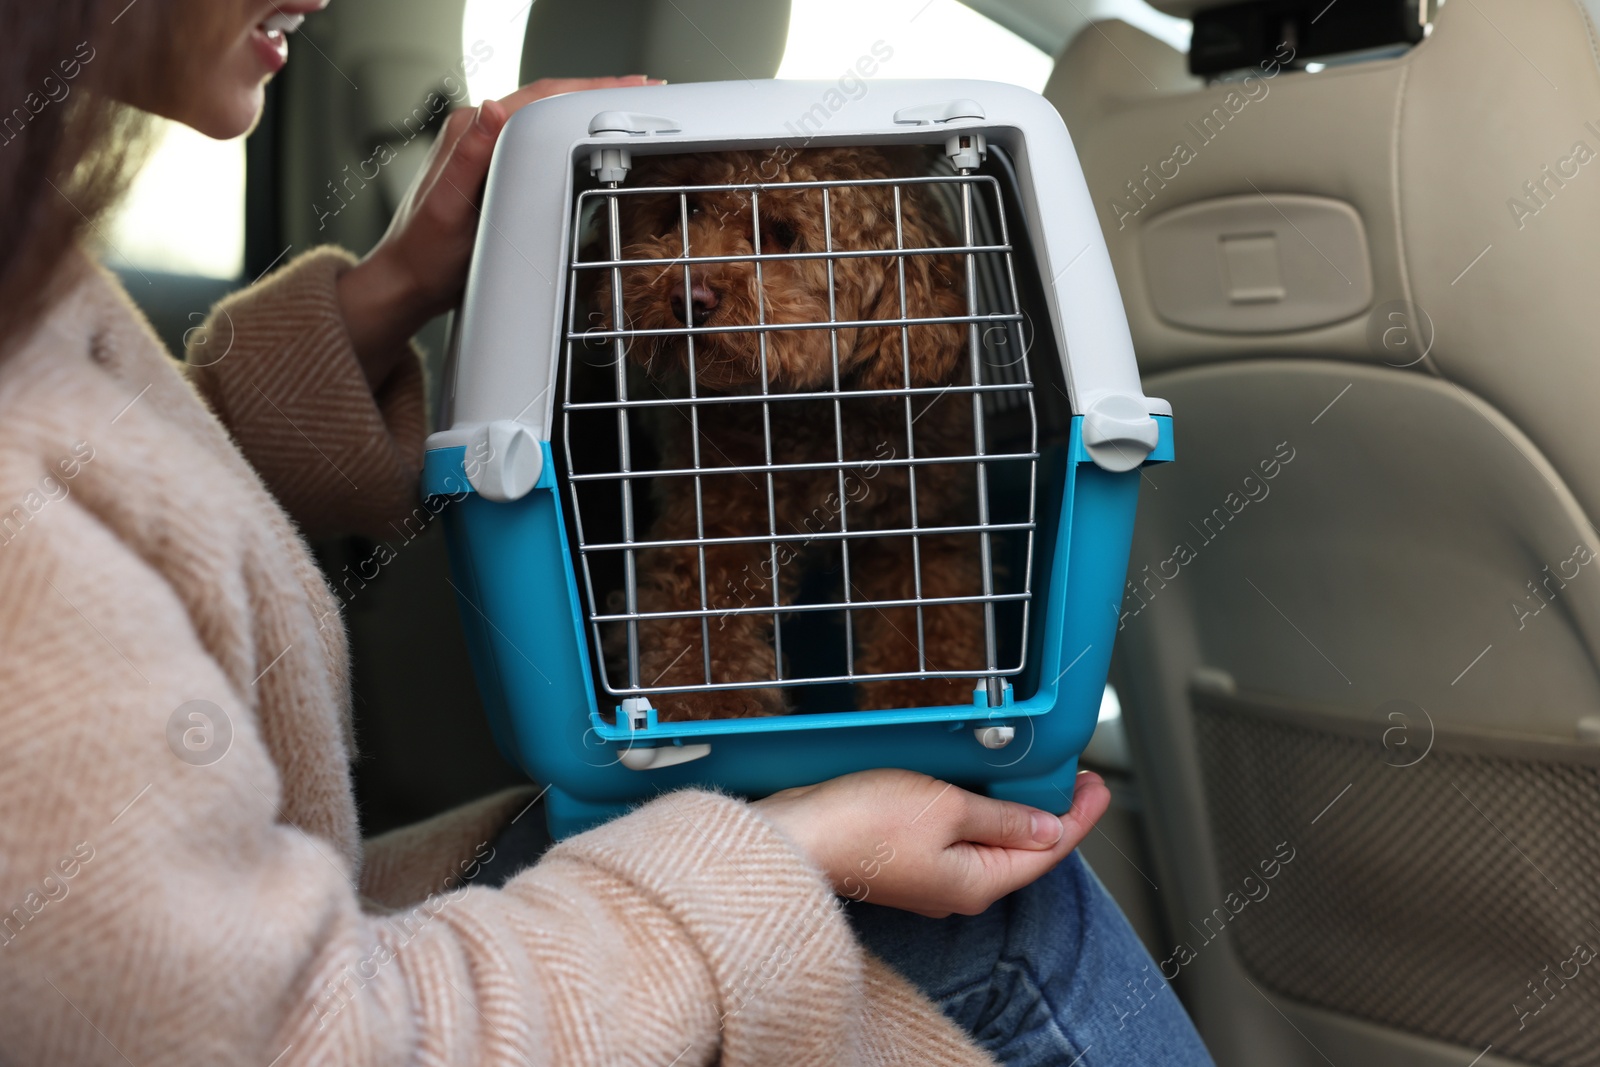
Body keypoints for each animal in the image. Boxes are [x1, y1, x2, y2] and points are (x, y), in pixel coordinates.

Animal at [588, 146, 985, 723]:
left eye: (781, 232)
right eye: (685, 209)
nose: (688, 296)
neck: (810, 417)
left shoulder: (918, 527)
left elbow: (932, 610)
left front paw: (929, 697)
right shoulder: (719, 524)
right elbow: (698, 614)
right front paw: (705, 705)